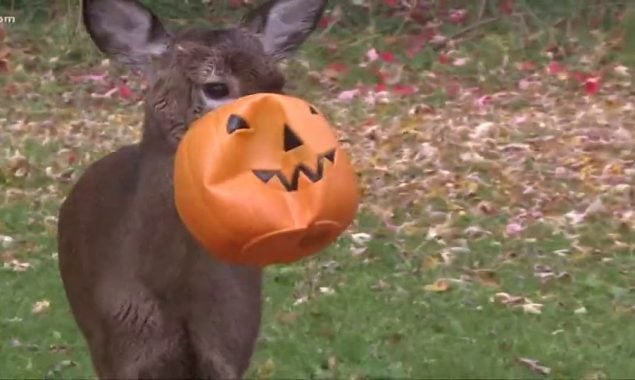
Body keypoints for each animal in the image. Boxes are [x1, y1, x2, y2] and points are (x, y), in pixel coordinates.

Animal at [57, 0, 328, 378]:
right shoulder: (119, 349)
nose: (291, 146)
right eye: (215, 87)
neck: (173, 289)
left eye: (278, 84)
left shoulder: (229, 343)